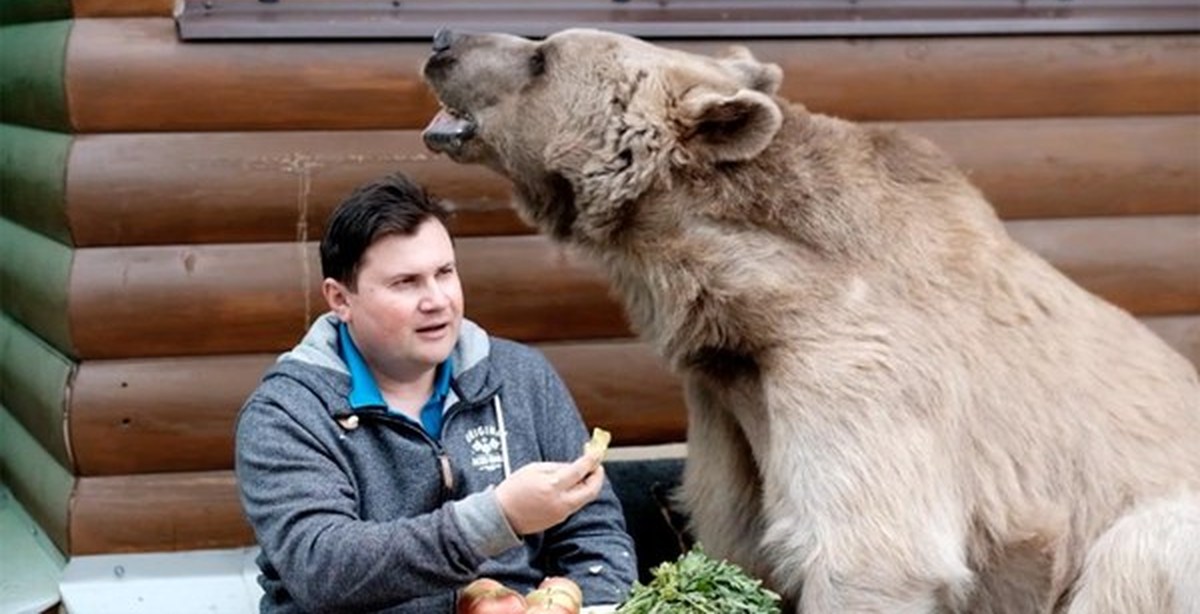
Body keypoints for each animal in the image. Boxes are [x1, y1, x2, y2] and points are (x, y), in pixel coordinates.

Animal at [420, 28, 1200, 614]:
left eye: (542, 54)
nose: (442, 40)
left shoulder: (855, 362)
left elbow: (869, 549)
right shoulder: (726, 396)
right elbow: (735, 531)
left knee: (1136, 555)